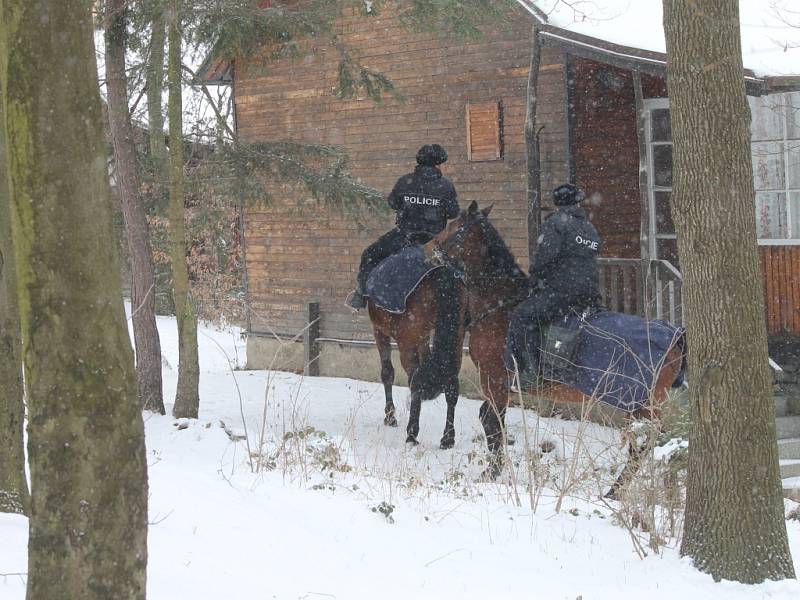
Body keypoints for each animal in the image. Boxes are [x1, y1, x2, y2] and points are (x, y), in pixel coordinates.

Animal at [366, 264, 466, 450]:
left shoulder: (380, 330)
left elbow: (387, 372)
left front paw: (390, 417)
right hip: (456, 337)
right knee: (452, 385)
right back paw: (447, 438)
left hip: (408, 340)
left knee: (415, 381)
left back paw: (412, 434)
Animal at [428, 203, 684, 496]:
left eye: (453, 226)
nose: (429, 250)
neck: (500, 304)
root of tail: (674, 338)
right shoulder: (498, 384)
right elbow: (489, 420)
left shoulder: (494, 380)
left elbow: (493, 423)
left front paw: (491, 472)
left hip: (643, 405)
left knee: (646, 442)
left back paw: (616, 492)